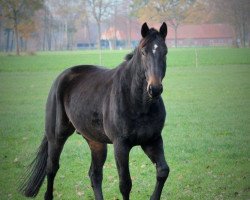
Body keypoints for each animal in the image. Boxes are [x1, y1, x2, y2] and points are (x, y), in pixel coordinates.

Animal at [19, 22, 170, 199]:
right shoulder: (121, 145)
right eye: (144, 52)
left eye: (165, 52)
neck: (138, 103)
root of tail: (61, 78)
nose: (155, 88)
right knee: (52, 168)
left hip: (96, 142)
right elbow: (125, 184)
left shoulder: (152, 140)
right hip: (56, 137)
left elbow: (163, 171)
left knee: (95, 174)